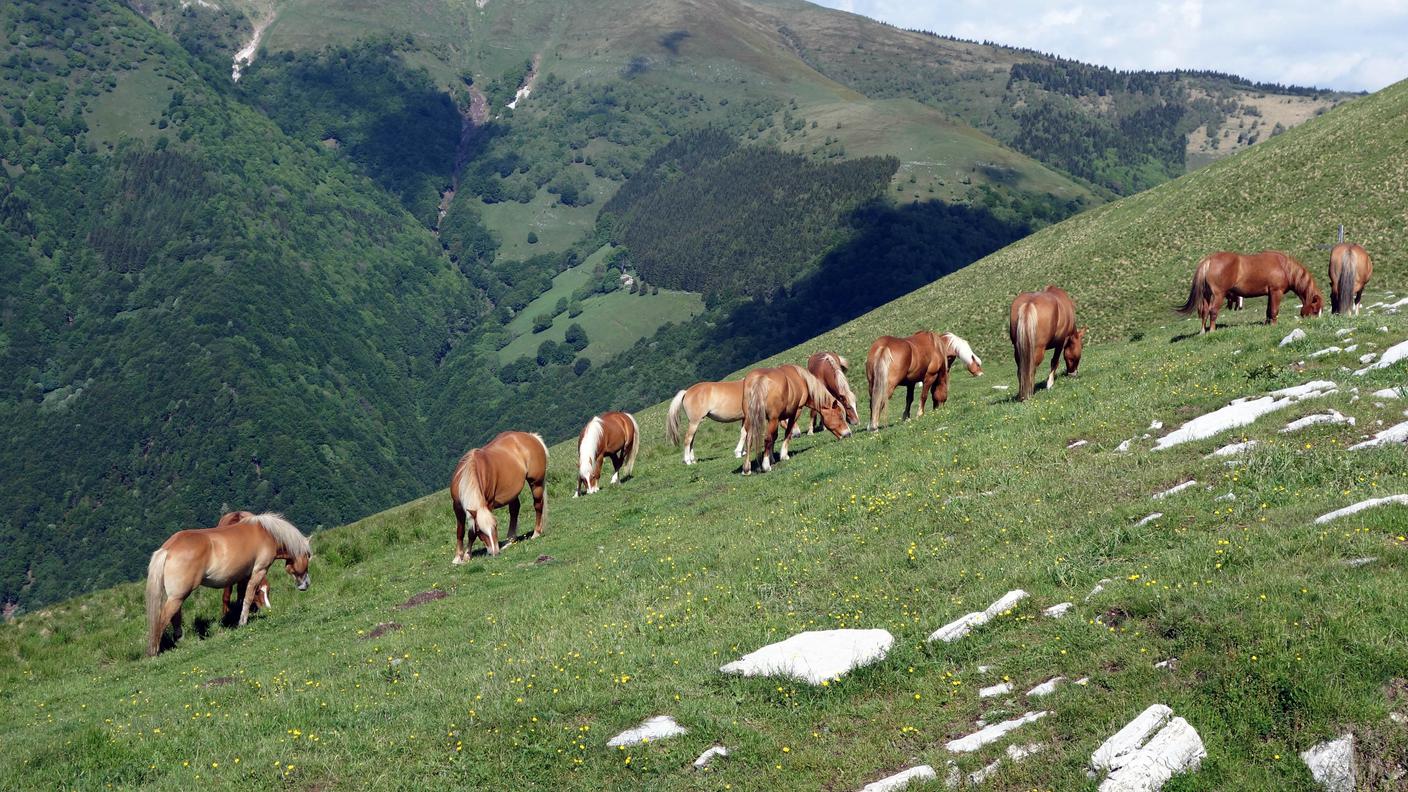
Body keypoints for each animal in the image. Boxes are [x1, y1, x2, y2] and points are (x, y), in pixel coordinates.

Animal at [142, 512, 308, 653]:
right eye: (308, 555)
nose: (305, 584)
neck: (266, 533)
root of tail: (168, 548)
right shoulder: (259, 570)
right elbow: (247, 597)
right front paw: (242, 622)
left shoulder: (243, 576)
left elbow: (242, 596)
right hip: (178, 596)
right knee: (163, 619)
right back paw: (155, 651)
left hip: (176, 596)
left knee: (175, 616)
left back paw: (180, 641)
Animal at [447, 431, 546, 560]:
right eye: (480, 531)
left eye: (495, 526)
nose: (495, 552)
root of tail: (531, 436)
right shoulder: (457, 507)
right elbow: (461, 531)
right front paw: (459, 557)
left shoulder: (488, 503)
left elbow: (470, 533)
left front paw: (467, 555)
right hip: (513, 493)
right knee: (514, 510)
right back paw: (510, 540)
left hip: (536, 483)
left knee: (538, 505)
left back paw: (536, 533)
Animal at [1171, 249, 1323, 329]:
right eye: (1315, 310)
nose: (1315, 322)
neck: (1284, 267)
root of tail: (1209, 260)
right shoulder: (1276, 292)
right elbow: (1274, 310)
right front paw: (1274, 325)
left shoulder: (1270, 293)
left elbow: (1268, 310)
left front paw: (1267, 323)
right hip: (1218, 295)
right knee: (1213, 311)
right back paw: (1212, 330)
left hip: (1206, 296)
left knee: (1204, 311)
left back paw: (1203, 332)